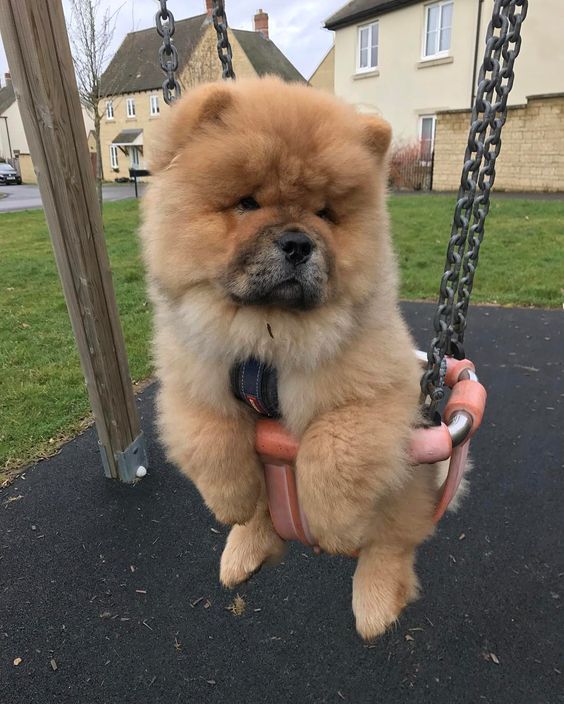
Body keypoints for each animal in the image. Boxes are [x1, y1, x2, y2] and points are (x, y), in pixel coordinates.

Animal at [141, 75, 440, 640]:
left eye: (325, 214)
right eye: (247, 203)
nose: (299, 242)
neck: (267, 343)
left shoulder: (380, 391)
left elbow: (333, 444)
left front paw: (334, 526)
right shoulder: (190, 382)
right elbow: (211, 439)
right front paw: (229, 501)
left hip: (409, 489)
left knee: (391, 544)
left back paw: (375, 606)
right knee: (264, 515)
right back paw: (243, 553)